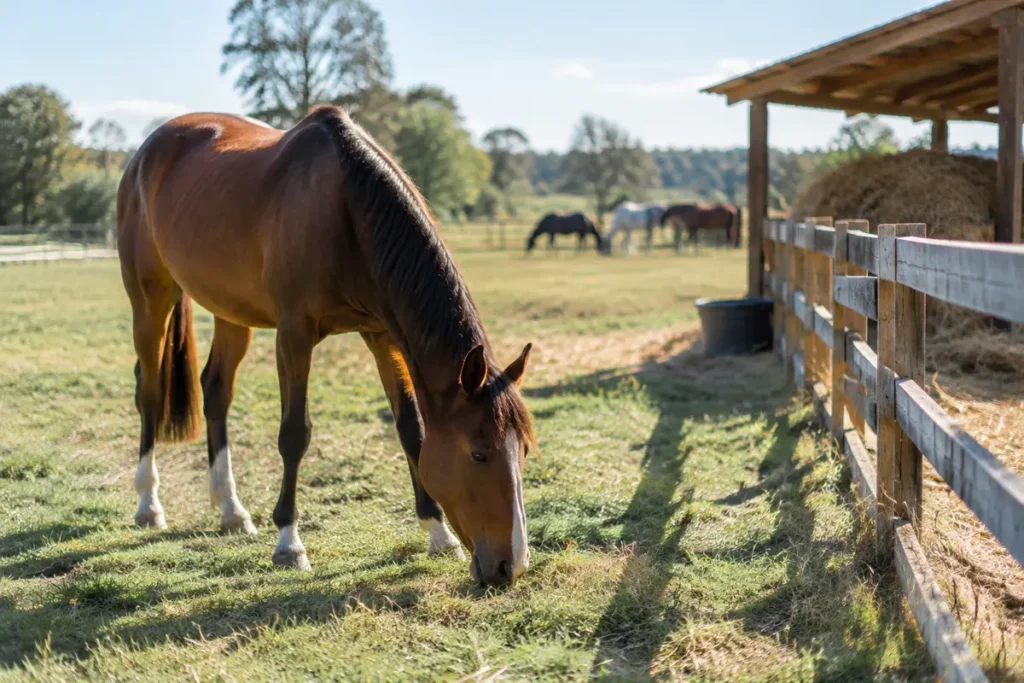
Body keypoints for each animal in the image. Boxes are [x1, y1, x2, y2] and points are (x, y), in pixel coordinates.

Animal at [116, 106, 536, 588]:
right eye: (479, 453)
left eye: (523, 450)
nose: (511, 566)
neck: (346, 209)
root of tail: (151, 148)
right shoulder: (294, 335)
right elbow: (294, 434)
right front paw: (289, 544)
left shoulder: (383, 336)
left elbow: (411, 428)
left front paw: (437, 532)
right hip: (150, 298)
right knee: (149, 391)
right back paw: (148, 504)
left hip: (231, 312)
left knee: (216, 390)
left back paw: (230, 510)